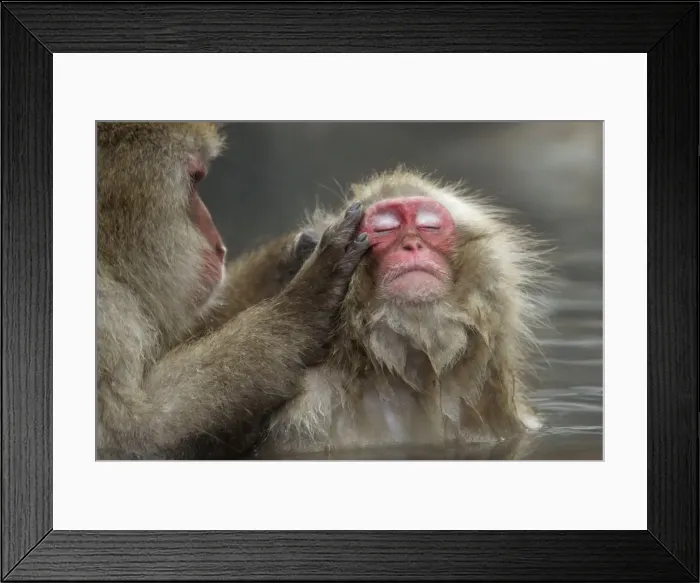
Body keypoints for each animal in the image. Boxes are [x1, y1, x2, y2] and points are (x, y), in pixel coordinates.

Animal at [96, 122, 370, 460]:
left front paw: (294, 256)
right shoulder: (106, 314)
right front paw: (304, 304)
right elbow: (134, 439)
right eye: (194, 180)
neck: (108, 258)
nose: (217, 242)